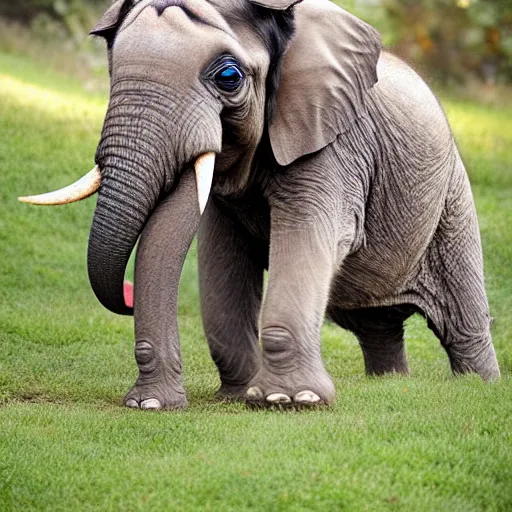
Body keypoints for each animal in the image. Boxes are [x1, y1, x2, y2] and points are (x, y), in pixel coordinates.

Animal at [21, 0, 500, 408]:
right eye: (111, 70)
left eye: (228, 77)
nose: (126, 293)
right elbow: (217, 251)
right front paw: (188, 402)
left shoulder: (333, 139)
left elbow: (305, 229)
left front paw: (288, 401)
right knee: (375, 325)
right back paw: (389, 382)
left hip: (452, 197)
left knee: (463, 323)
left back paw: (480, 385)